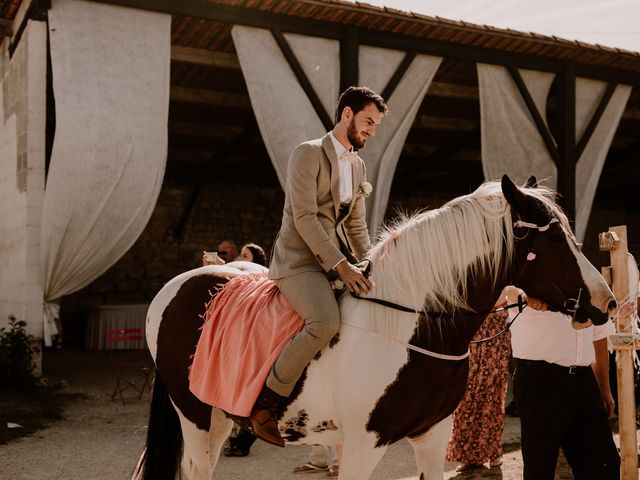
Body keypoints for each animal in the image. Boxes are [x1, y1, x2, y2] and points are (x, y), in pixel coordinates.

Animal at [135, 176, 616, 480]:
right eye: (554, 238)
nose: (606, 302)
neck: (411, 329)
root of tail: (179, 284)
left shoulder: (431, 438)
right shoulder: (365, 445)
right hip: (196, 416)